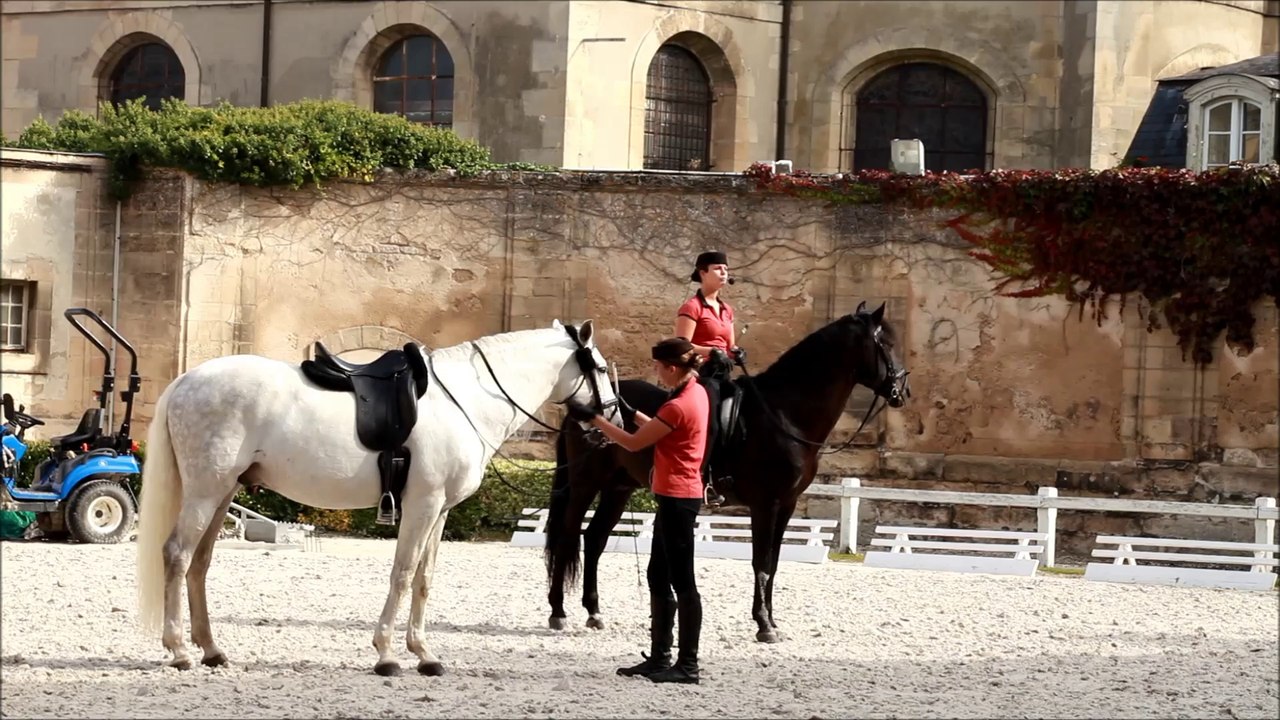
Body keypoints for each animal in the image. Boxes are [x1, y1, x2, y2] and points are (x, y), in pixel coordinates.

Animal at [135, 319, 620, 677]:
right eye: (598, 367)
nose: (613, 420)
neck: (465, 399)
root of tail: (186, 380)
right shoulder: (422, 505)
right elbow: (402, 574)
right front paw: (387, 654)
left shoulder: (440, 512)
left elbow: (424, 579)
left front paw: (424, 654)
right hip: (205, 492)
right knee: (177, 555)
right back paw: (179, 650)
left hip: (222, 493)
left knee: (199, 564)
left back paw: (211, 650)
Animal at [542, 302, 910, 641]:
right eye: (887, 343)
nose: (902, 392)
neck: (783, 414)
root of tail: (588, 407)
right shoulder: (766, 505)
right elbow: (760, 563)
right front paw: (764, 625)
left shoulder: (787, 505)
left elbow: (773, 563)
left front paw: (771, 620)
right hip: (586, 483)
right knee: (568, 535)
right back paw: (558, 612)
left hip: (619, 488)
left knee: (594, 539)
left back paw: (594, 612)